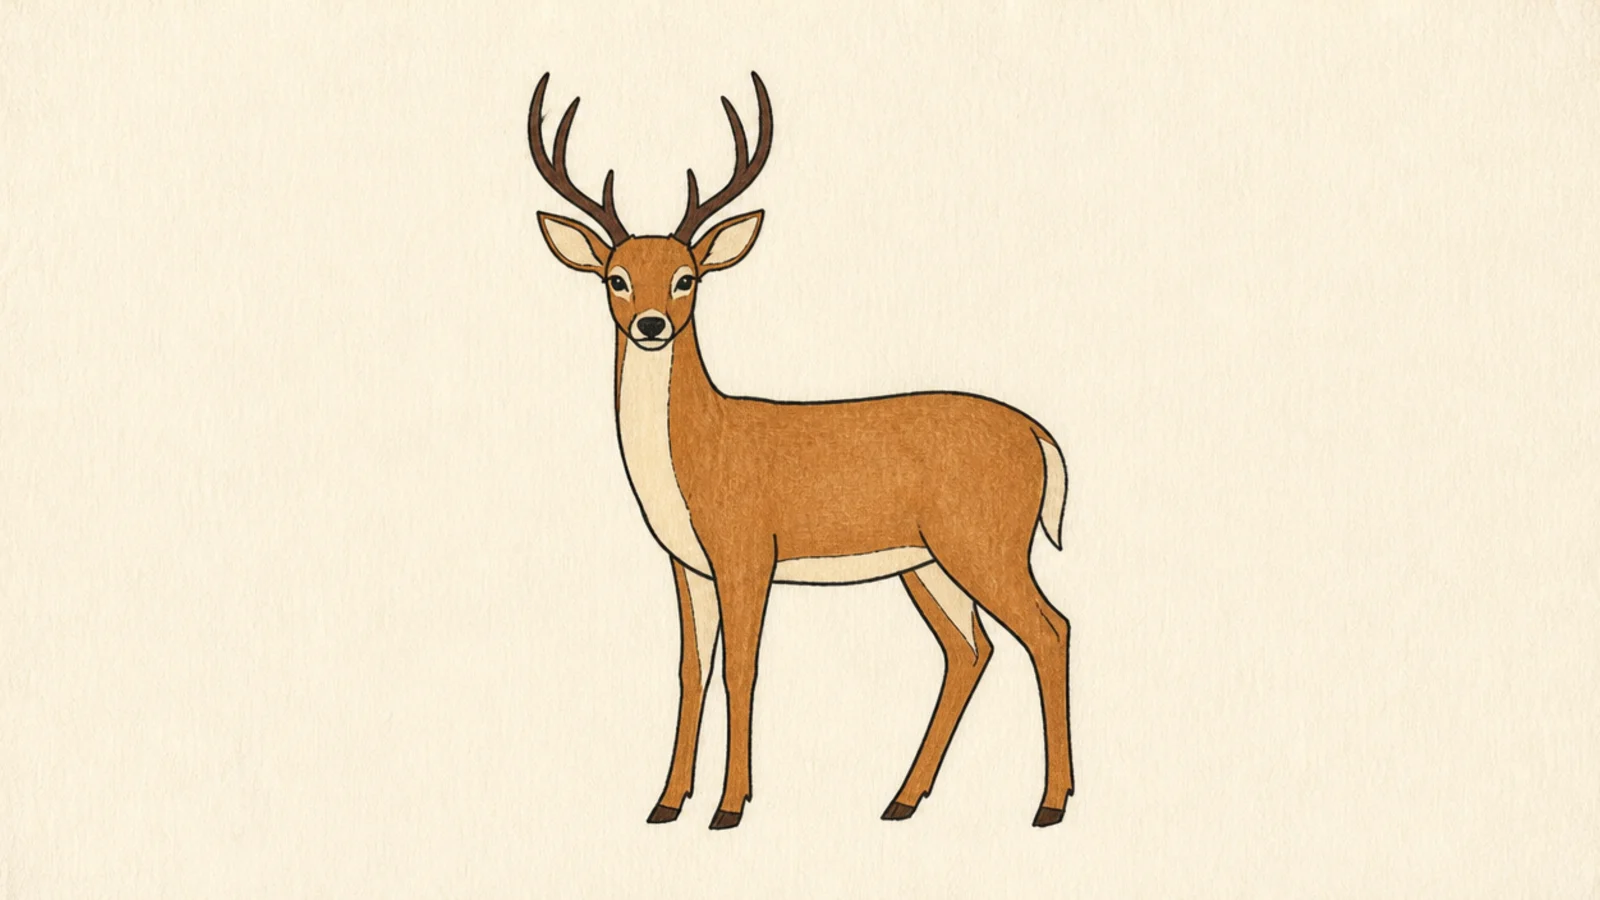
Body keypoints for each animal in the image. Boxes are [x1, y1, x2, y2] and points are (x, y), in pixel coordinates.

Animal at [527, 72, 1074, 829]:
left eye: (687, 276)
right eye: (616, 276)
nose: (651, 325)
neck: (702, 449)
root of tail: (1040, 436)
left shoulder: (749, 550)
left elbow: (742, 669)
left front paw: (729, 807)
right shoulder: (687, 564)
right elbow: (691, 670)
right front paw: (666, 803)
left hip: (985, 542)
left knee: (1049, 631)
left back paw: (1048, 805)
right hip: (928, 562)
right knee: (972, 650)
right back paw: (902, 799)